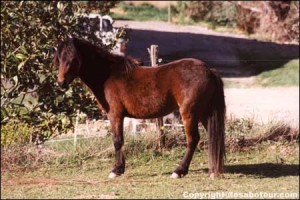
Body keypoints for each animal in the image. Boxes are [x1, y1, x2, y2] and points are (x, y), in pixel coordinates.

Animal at [53, 37, 225, 178]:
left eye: (74, 58)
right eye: (59, 59)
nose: (61, 83)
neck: (108, 75)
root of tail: (209, 70)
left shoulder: (115, 115)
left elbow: (117, 140)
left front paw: (116, 170)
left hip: (189, 113)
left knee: (193, 139)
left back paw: (179, 171)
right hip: (204, 113)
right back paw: (213, 170)